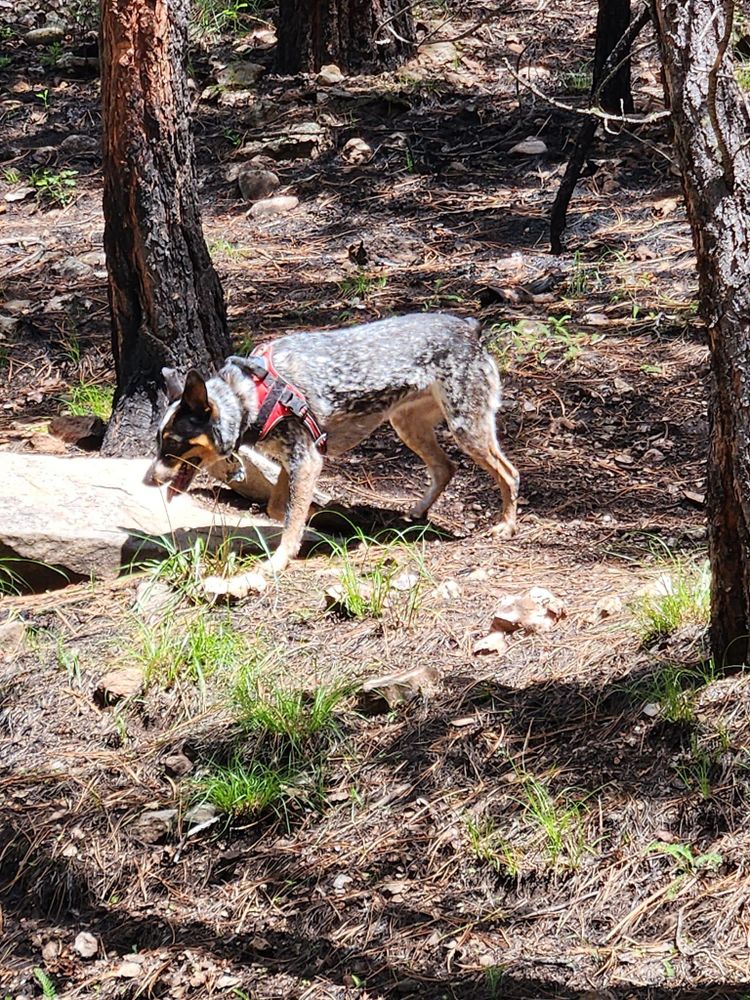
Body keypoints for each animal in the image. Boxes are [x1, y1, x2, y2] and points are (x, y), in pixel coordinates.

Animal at [148, 312, 524, 592]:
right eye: (158, 441)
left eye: (173, 443)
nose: (147, 479)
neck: (247, 398)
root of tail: (469, 328)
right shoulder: (297, 462)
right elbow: (279, 508)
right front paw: (322, 518)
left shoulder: (307, 462)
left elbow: (290, 522)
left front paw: (279, 561)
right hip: (408, 425)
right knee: (446, 468)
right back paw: (416, 513)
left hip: (467, 429)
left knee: (510, 473)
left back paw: (506, 526)